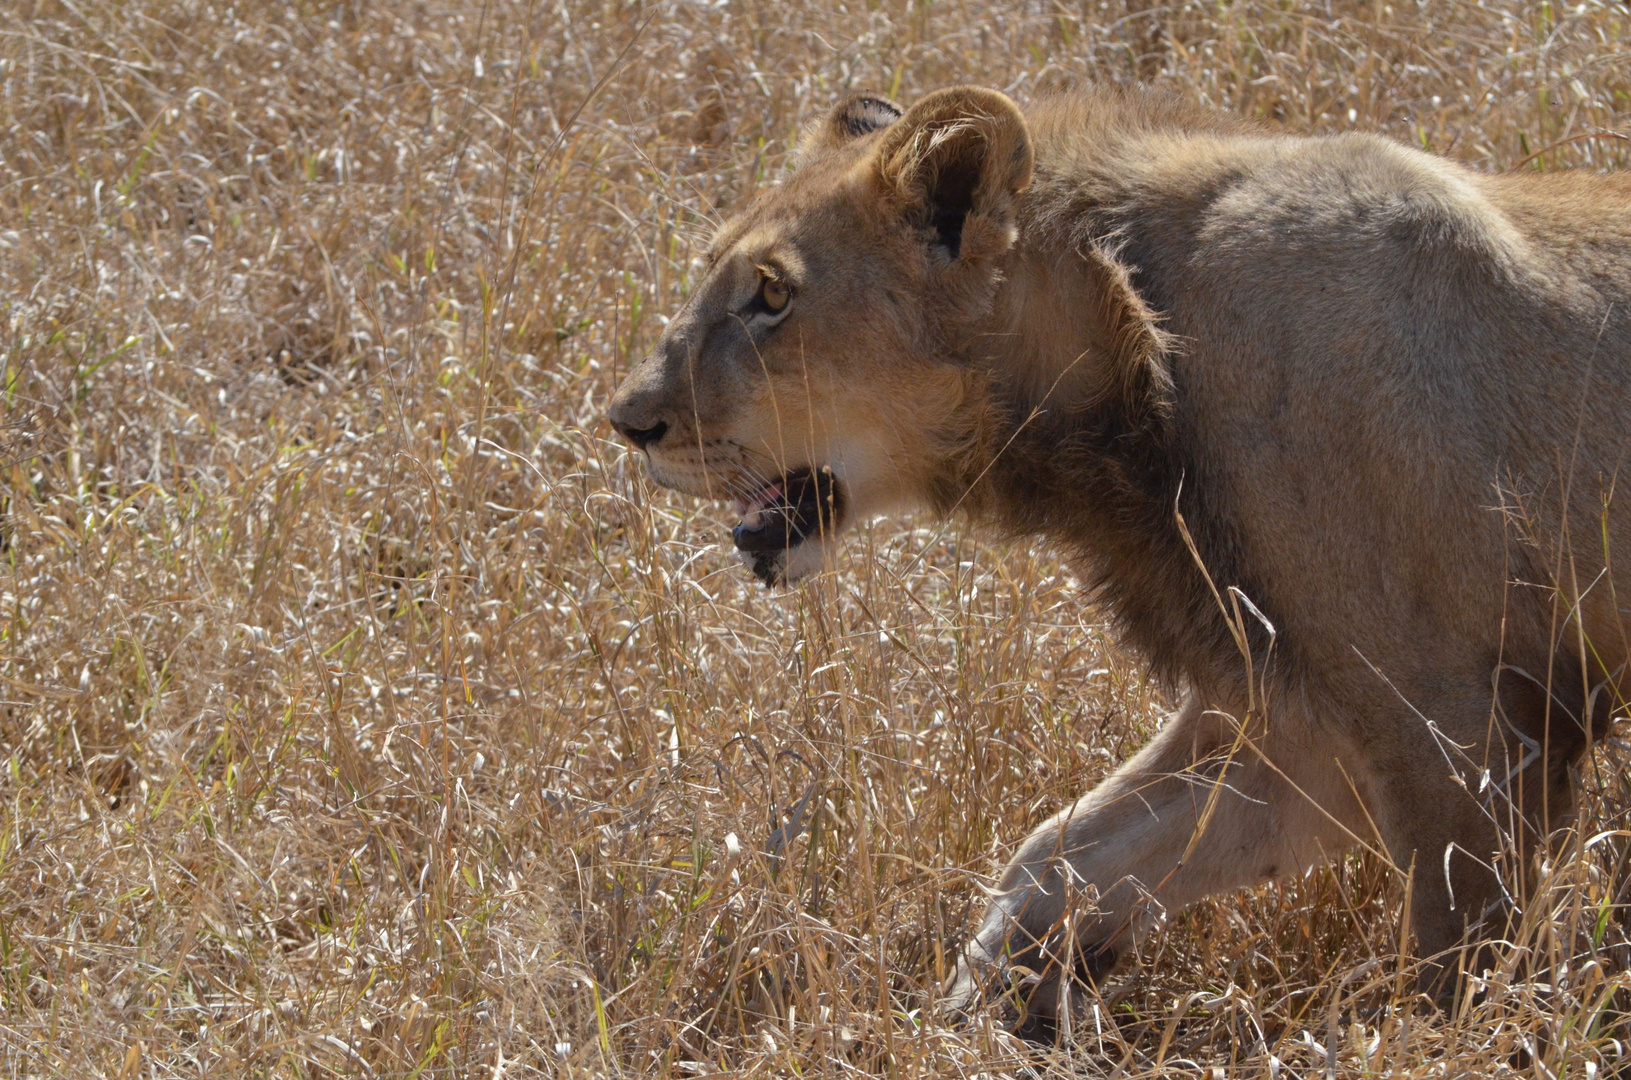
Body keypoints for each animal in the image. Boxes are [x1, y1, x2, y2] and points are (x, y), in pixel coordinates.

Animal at [606, 84, 1631, 1031]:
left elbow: (1454, 974)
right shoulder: (1298, 728)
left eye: (773, 295)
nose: (625, 422)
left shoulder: (1456, 727)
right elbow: (1061, 855)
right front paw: (984, 1018)